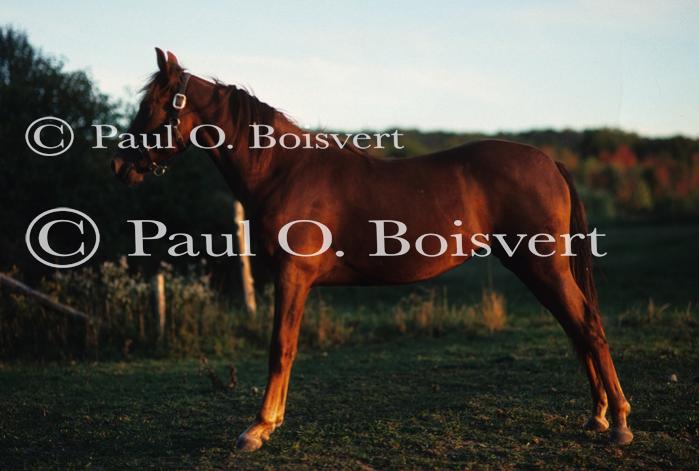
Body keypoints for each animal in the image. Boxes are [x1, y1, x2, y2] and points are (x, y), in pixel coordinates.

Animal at [111, 48, 633, 451]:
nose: (120, 164)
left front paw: (258, 428)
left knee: (587, 325)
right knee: (577, 328)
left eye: (154, 106)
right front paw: (269, 422)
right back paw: (599, 416)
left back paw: (620, 423)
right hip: (536, 267)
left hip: (541, 264)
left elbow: (281, 347)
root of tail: (549, 161)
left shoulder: (292, 278)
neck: (282, 170)